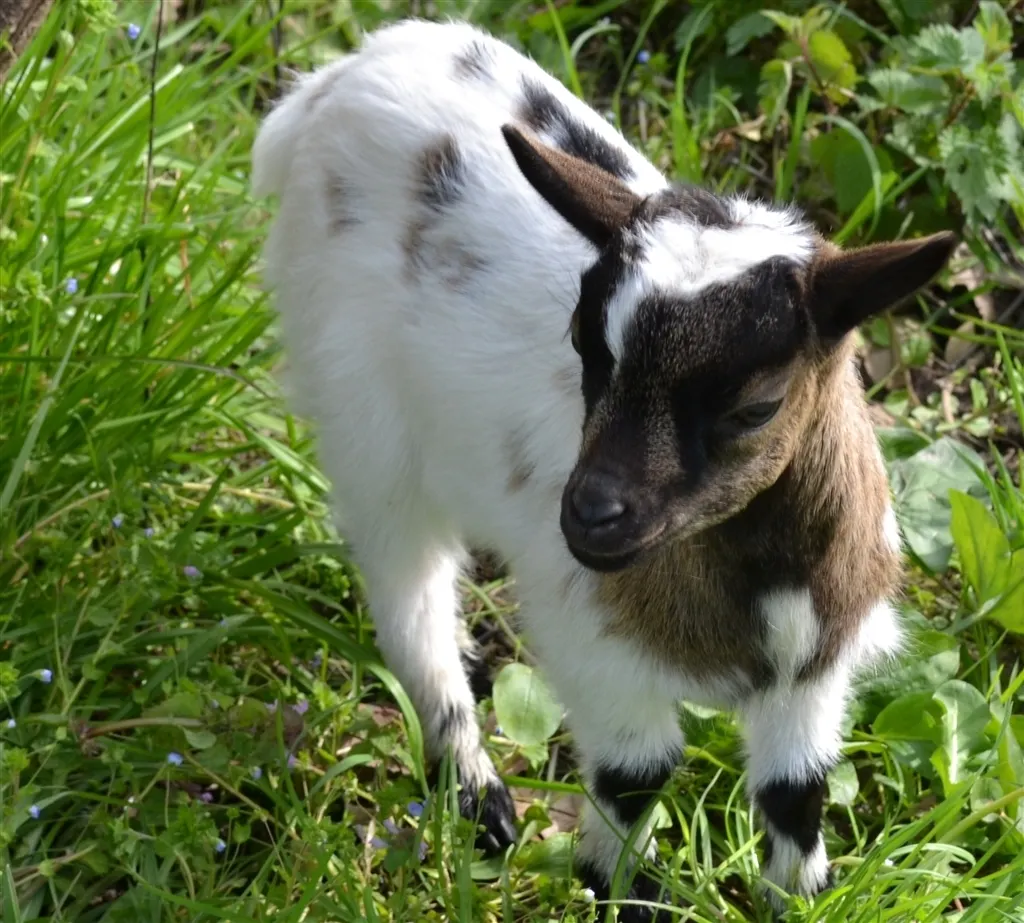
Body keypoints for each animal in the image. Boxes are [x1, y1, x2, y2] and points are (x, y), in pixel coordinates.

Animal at [251, 18, 956, 920]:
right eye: (587, 346)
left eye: (756, 405)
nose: (588, 514)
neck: (753, 575)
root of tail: (341, 75)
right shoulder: (596, 643)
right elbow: (636, 775)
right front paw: (616, 886)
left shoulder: (814, 671)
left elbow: (798, 792)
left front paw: (795, 898)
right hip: (362, 414)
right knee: (408, 588)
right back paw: (476, 793)